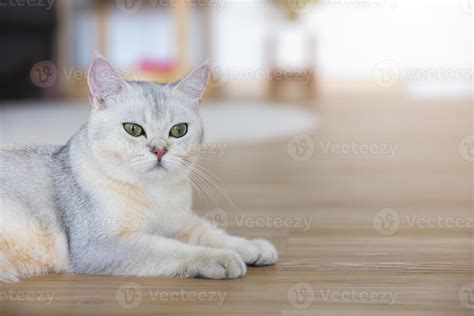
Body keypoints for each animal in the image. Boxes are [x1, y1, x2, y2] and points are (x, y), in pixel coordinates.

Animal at [0, 56, 278, 282]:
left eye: (179, 130)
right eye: (133, 129)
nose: (159, 150)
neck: (155, 194)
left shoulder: (178, 221)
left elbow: (206, 231)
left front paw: (251, 246)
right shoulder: (99, 244)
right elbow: (169, 248)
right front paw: (221, 258)